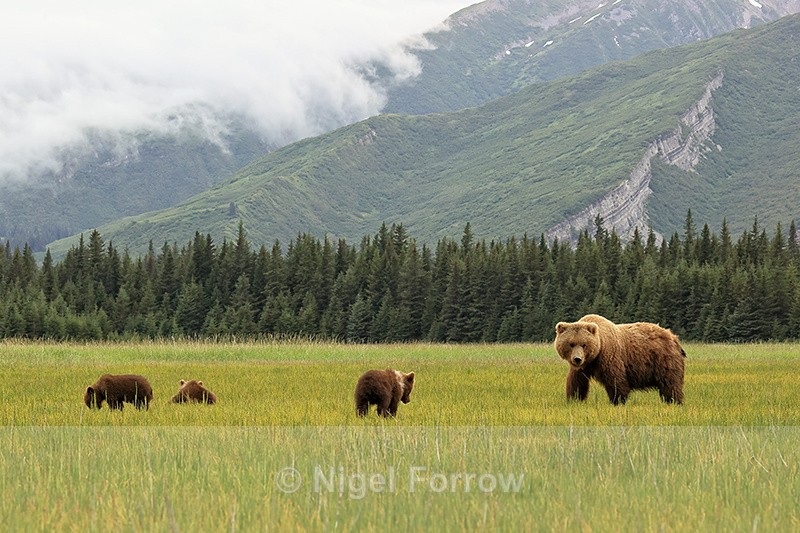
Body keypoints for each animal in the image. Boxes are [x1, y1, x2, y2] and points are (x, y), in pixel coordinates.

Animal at [554, 314, 686, 405]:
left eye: (584, 344)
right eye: (571, 344)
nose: (577, 359)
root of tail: (673, 336)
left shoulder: (609, 357)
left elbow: (616, 380)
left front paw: (617, 401)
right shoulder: (583, 367)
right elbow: (576, 381)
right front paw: (574, 399)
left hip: (663, 359)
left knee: (669, 382)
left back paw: (673, 401)